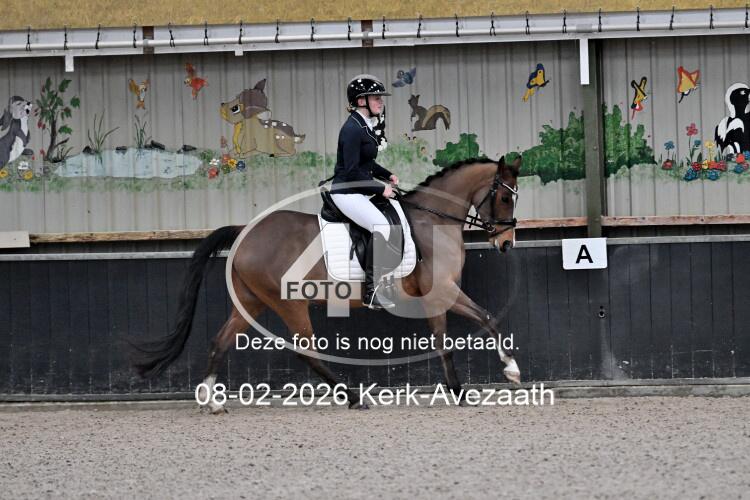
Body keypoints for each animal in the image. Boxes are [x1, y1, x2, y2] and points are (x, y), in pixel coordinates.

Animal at [127, 156, 522, 413]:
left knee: (220, 341)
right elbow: (467, 330)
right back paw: (353, 397)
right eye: (504, 197)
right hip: (289, 303)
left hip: (251, 301)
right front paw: (487, 380)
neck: (432, 222)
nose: (506, 243)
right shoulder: (440, 292)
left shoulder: (439, 295)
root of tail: (244, 232)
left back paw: (212, 403)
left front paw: (485, 380)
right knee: (307, 351)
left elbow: (465, 330)